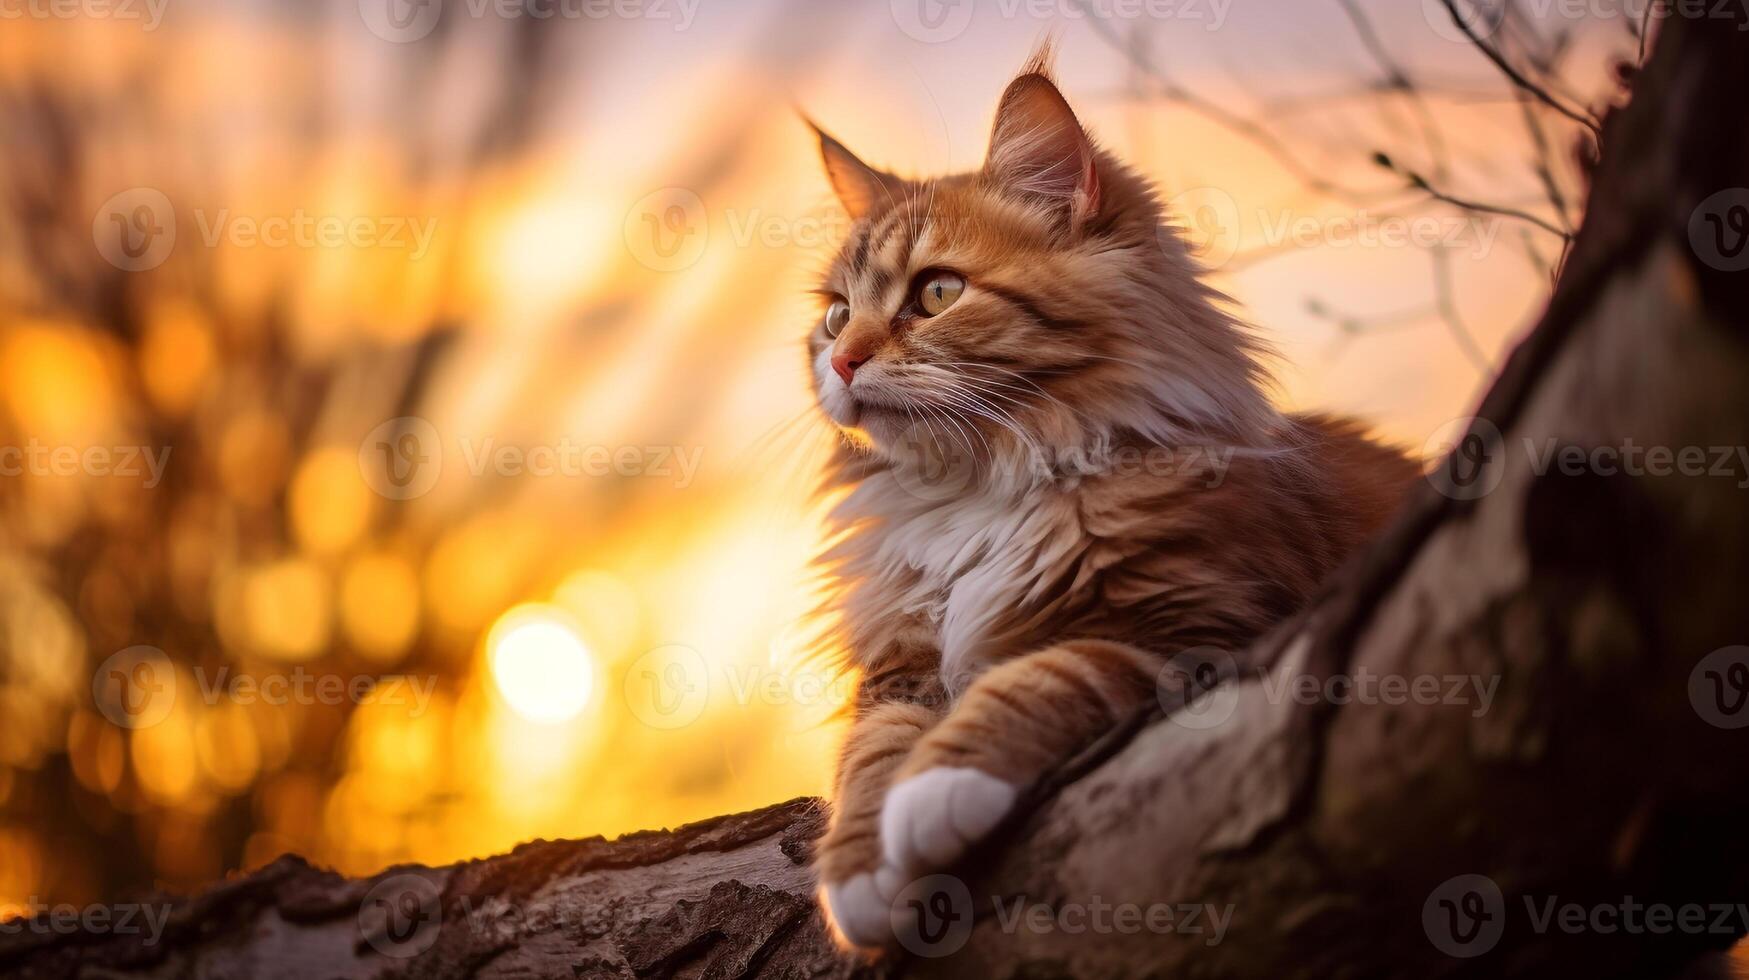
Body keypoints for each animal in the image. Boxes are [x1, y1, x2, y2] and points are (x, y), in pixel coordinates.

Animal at [804, 45, 1420, 952]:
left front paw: (935, 790)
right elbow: (870, 752)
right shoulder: (901, 663)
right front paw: (860, 870)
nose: (842, 361)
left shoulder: (1203, 627)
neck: (980, 486)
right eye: (835, 316)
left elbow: (1047, 673)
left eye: (937, 293)